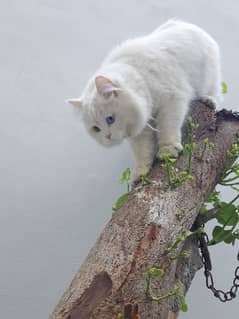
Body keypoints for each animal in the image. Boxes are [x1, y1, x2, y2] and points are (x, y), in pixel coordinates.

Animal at [67, 20, 220, 182]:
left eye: (110, 119)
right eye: (96, 129)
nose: (107, 137)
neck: (140, 76)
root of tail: (183, 22)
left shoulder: (172, 101)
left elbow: (168, 129)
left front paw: (167, 150)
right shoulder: (141, 130)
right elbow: (143, 151)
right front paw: (141, 173)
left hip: (210, 79)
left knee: (214, 94)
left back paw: (209, 100)